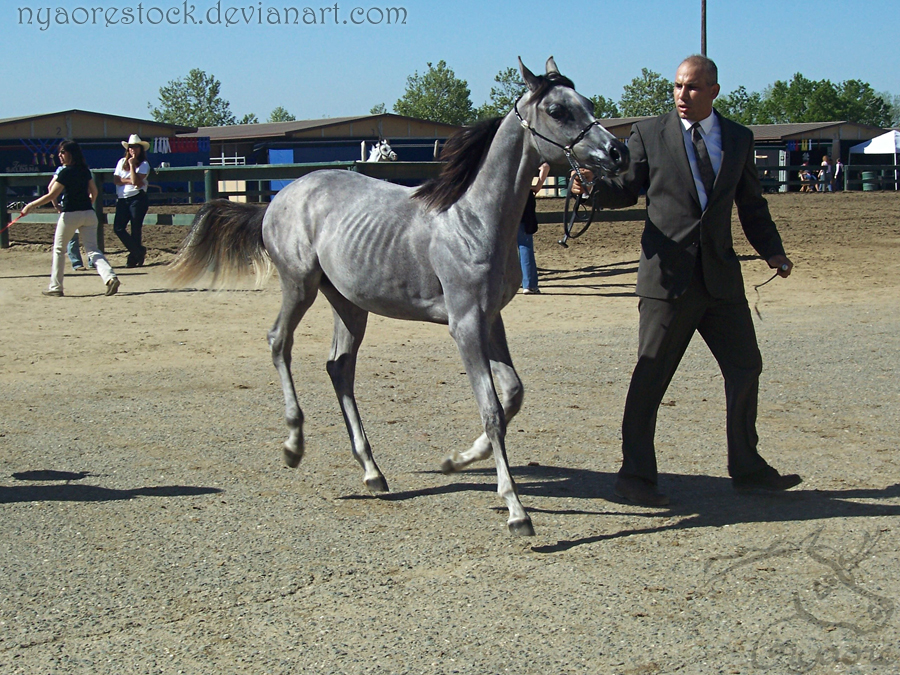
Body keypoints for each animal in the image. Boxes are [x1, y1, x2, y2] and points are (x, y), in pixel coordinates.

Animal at [172, 58, 628, 536]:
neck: (472, 219)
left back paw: (372, 471)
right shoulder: (464, 324)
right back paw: (293, 445)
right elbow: (491, 409)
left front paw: (457, 460)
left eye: (588, 102)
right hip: (299, 286)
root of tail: (280, 198)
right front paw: (516, 510)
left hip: (349, 304)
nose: (618, 152)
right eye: (558, 110)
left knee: (339, 367)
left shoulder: (491, 319)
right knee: (280, 342)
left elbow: (512, 396)